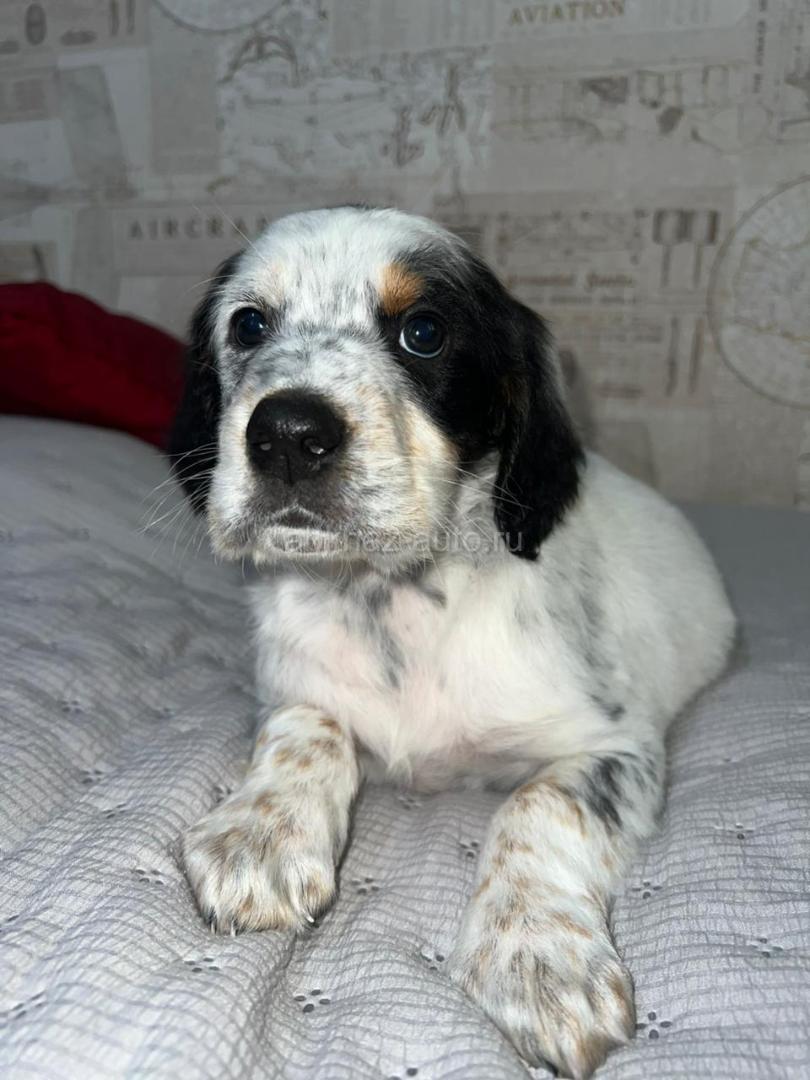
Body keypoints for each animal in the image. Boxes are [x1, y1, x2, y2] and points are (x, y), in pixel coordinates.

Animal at [169, 206, 734, 1079]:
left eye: (424, 332)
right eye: (249, 324)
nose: (288, 432)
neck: (393, 600)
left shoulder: (617, 745)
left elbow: (537, 804)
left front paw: (538, 955)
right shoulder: (290, 687)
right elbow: (306, 725)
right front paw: (259, 832)